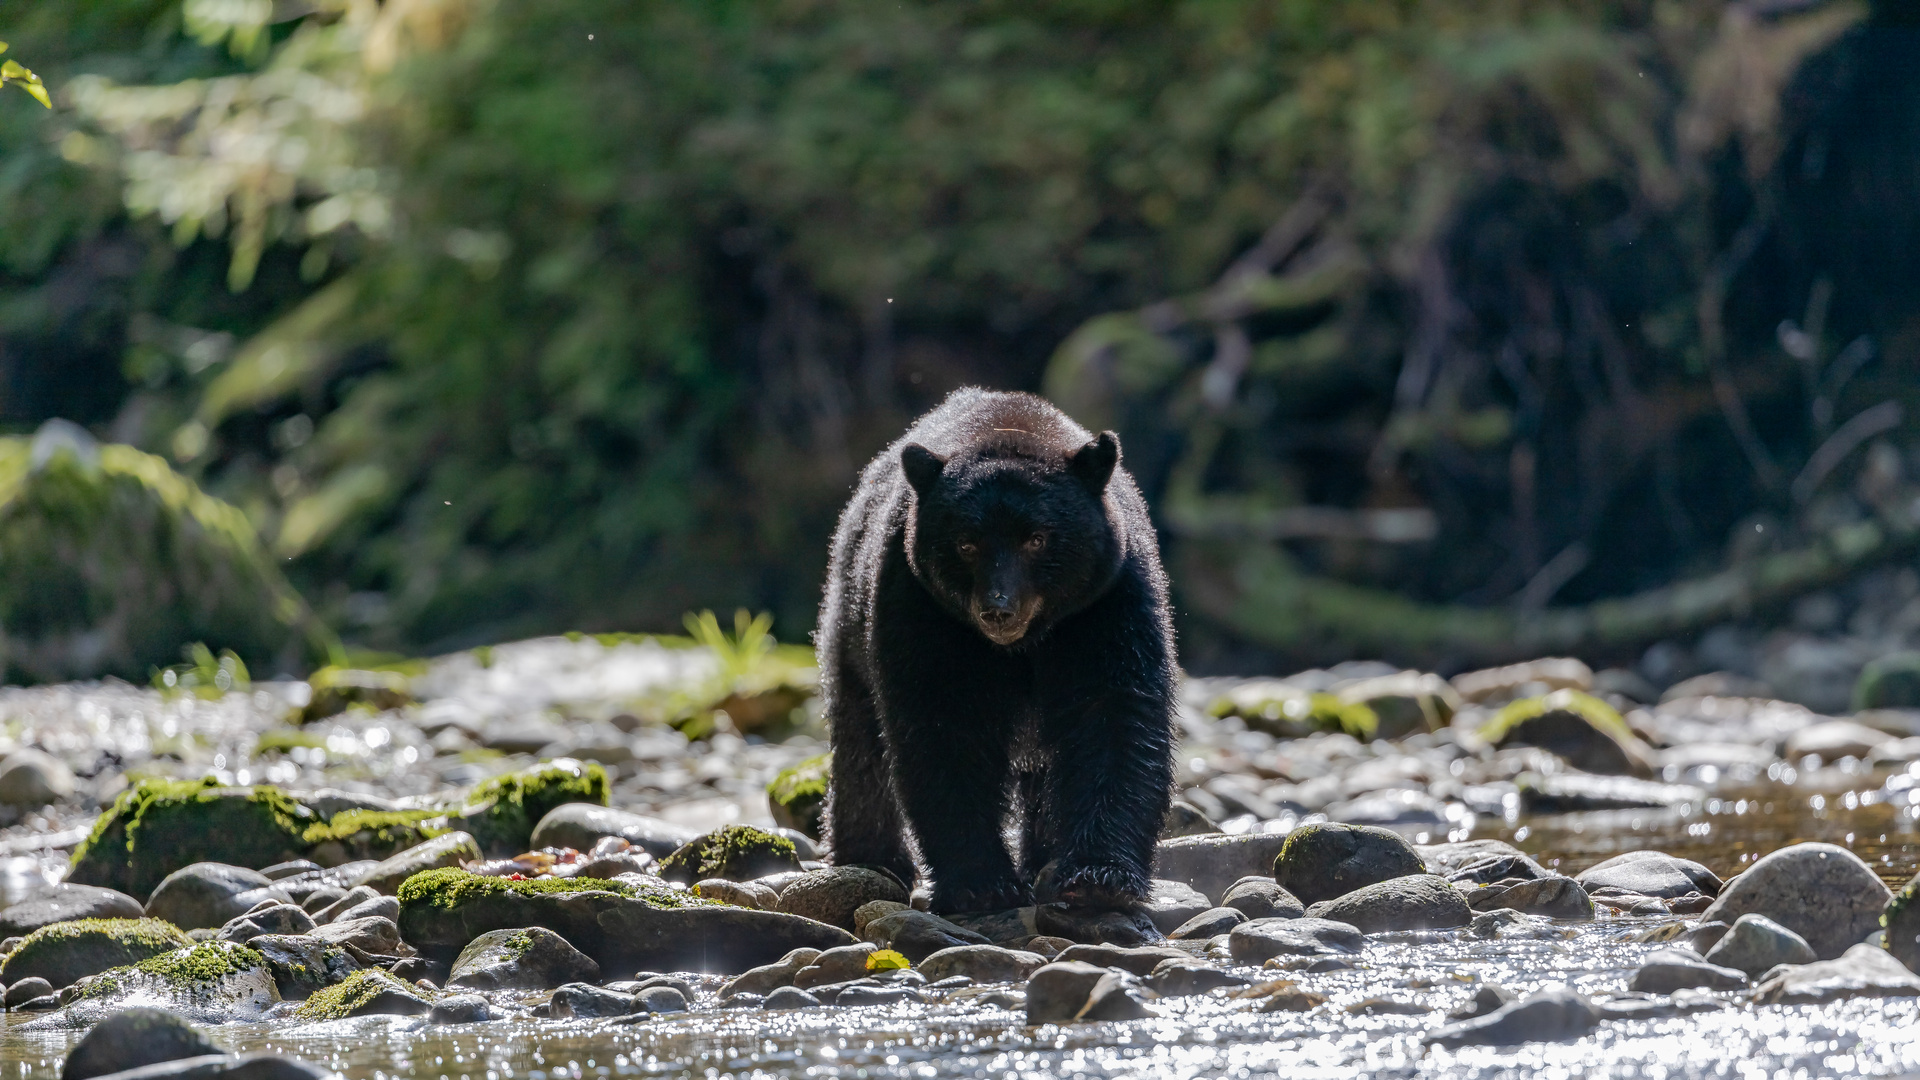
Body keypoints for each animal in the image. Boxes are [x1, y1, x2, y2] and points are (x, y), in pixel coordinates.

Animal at [817, 386, 1175, 907]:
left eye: (1037, 538)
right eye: (966, 543)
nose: (997, 610)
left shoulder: (1107, 603)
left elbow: (1112, 714)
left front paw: (1097, 876)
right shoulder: (920, 607)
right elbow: (945, 725)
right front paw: (981, 883)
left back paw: (1043, 859)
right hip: (848, 626)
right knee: (860, 742)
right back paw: (872, 857)